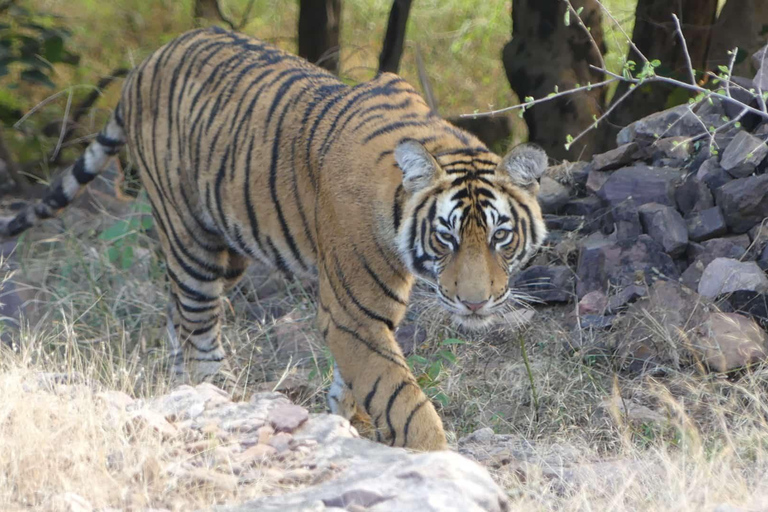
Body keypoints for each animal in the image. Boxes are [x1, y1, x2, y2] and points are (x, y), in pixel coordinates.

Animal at [3, 27, 548, 452]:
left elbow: (358, 381)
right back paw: (220, 401)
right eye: (445, 238)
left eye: (500, 236)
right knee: (199, 331)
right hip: (191, 239)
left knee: (176, 314)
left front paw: (349, 419)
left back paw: (182, 390)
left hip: (229, 249)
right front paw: (435, 455)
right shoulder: (353, 313)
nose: (475, 304)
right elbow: (400, 396)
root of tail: (147, 61)